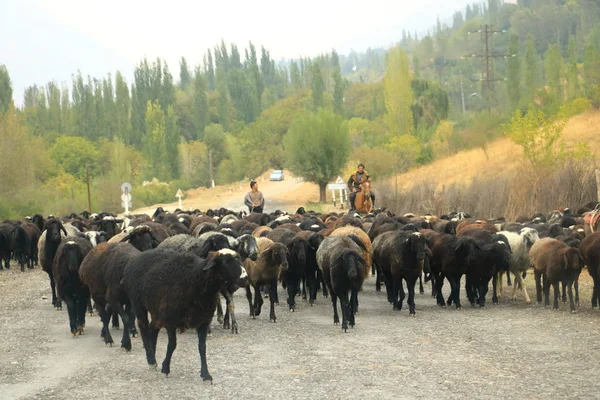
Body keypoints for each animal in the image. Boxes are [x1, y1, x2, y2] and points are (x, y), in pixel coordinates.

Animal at [123, 248, 247, 380]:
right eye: (226, 262)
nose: (245, 278)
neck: (197, 282)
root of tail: (137, 257)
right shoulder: (170, 321)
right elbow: (172, 345)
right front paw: (165, 368)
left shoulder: (204, 321)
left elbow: (202, 348)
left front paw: (206, 375)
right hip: (138, 303)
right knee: (144, 328)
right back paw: (151, 359)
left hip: (156, 310)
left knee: (153, 328)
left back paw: (153, 357)